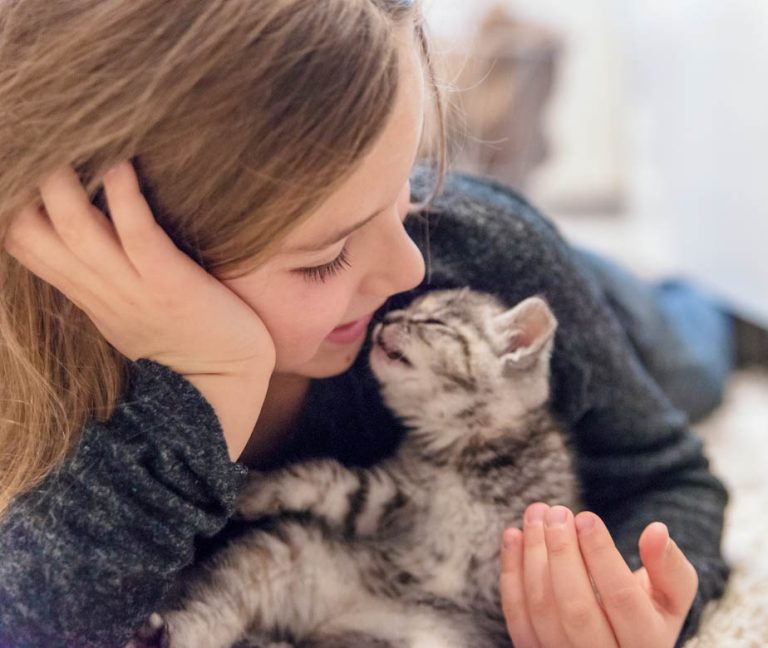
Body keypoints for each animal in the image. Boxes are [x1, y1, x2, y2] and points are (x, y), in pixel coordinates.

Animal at [140, 288, 584, 648]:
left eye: (433, 321)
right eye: (408, 309)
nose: (387, 317)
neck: (462, 450)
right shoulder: (394, 497)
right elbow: (322, 477)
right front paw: (254, 491)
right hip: (283, 554)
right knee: (214, 607)